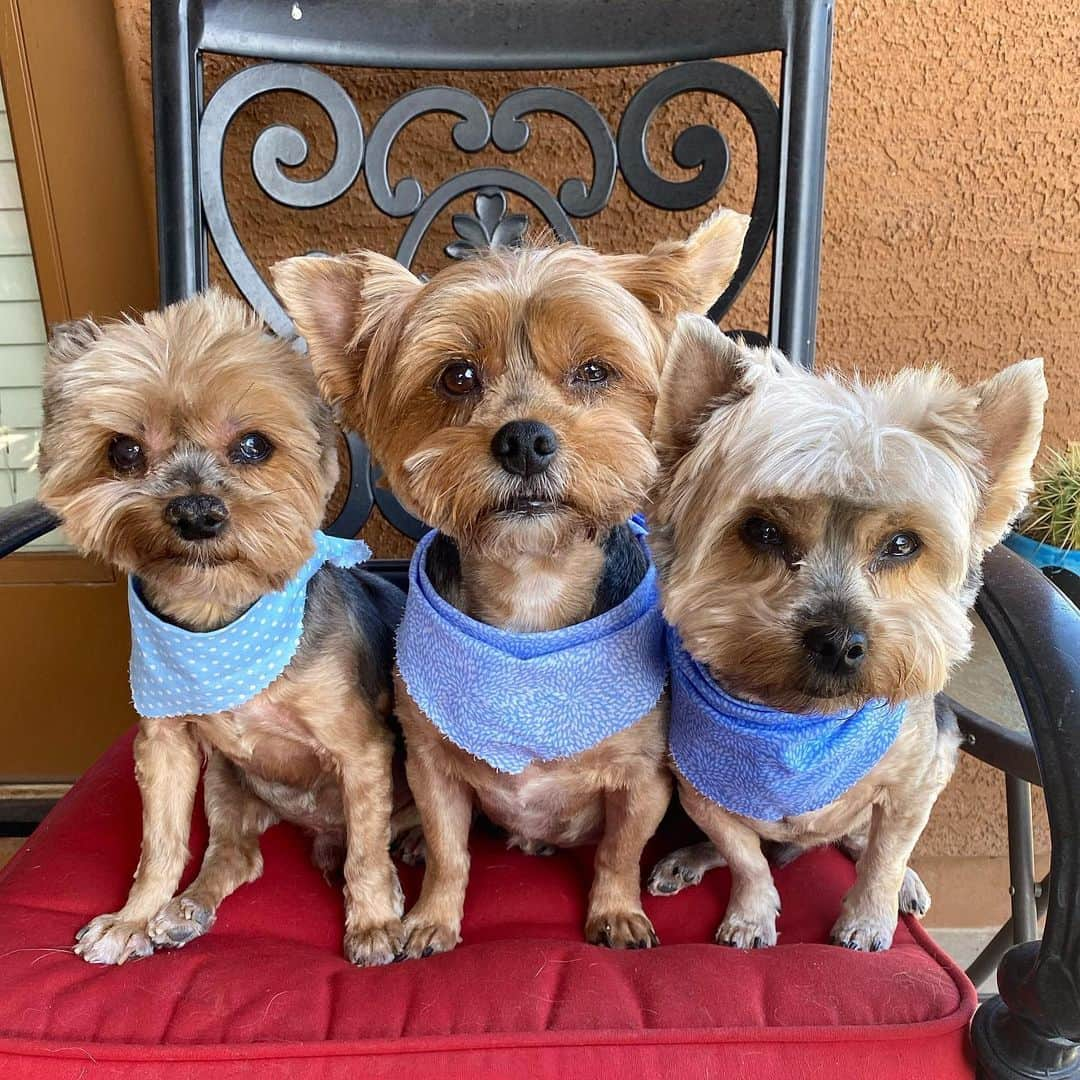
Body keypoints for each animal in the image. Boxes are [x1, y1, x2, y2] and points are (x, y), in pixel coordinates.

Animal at [274, 203, 751, 954]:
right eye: (457, 376)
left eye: (594, 370)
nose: (525, 438)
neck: (533, 586)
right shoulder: (431, 766)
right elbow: (451, 851)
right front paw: (431, 918)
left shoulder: (644, 778)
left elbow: (618, 852)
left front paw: (616, 911)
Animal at [639, 315, 1045, 950]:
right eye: (761, 530)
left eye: (902, 544)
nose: (838, 641)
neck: (800, 724)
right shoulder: (699, 790)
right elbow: (745, 856)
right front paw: (751, 912)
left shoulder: (914, 781)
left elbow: (886, 853)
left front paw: (870, 917)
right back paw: (692, 857)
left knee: (864, 838)